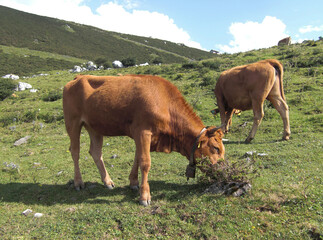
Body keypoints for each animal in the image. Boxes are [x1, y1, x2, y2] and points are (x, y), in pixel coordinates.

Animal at [63, 74, 225, 205]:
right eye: (216, 148)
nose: (224, 171)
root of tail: (78, 77)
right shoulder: (143, 132)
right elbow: (145, 162)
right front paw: (145, 196)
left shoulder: (143, 136)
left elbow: (137, 158)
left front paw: (134, 182)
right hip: (73, 122)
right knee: (75, 151)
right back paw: (78, 182)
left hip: (95, 127)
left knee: (96, 152)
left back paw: (107, 181)